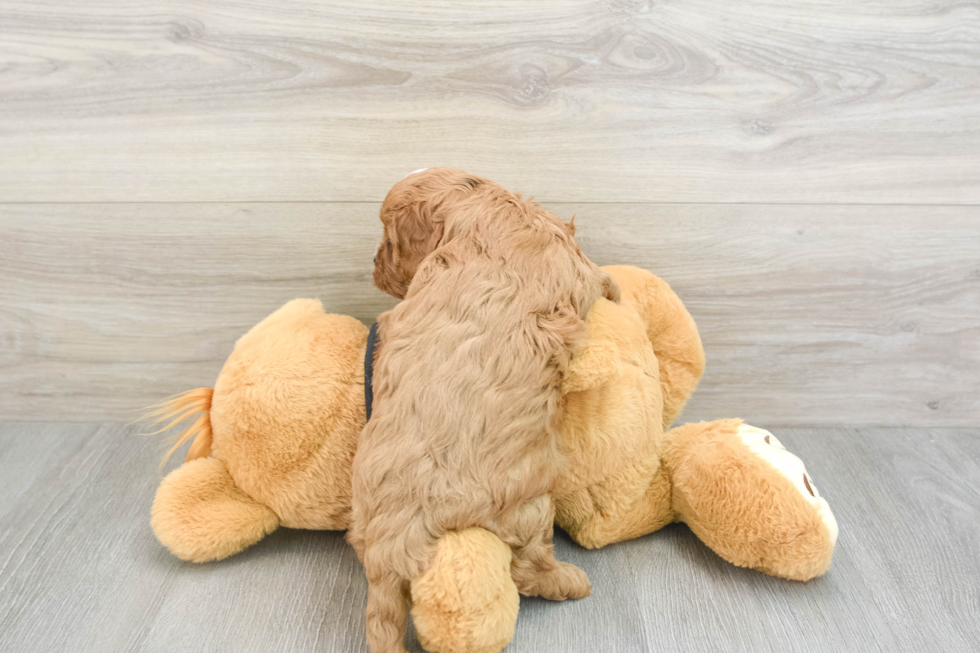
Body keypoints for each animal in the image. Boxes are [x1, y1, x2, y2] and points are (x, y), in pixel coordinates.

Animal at [348, 169, 616, 652]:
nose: (374, 267)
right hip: (528, 508)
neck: (482, 206)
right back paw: (570, 582)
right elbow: (601, 277)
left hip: (363, 520)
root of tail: (390, 547)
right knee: (530, 567)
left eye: (388, 240)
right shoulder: (573, 260)